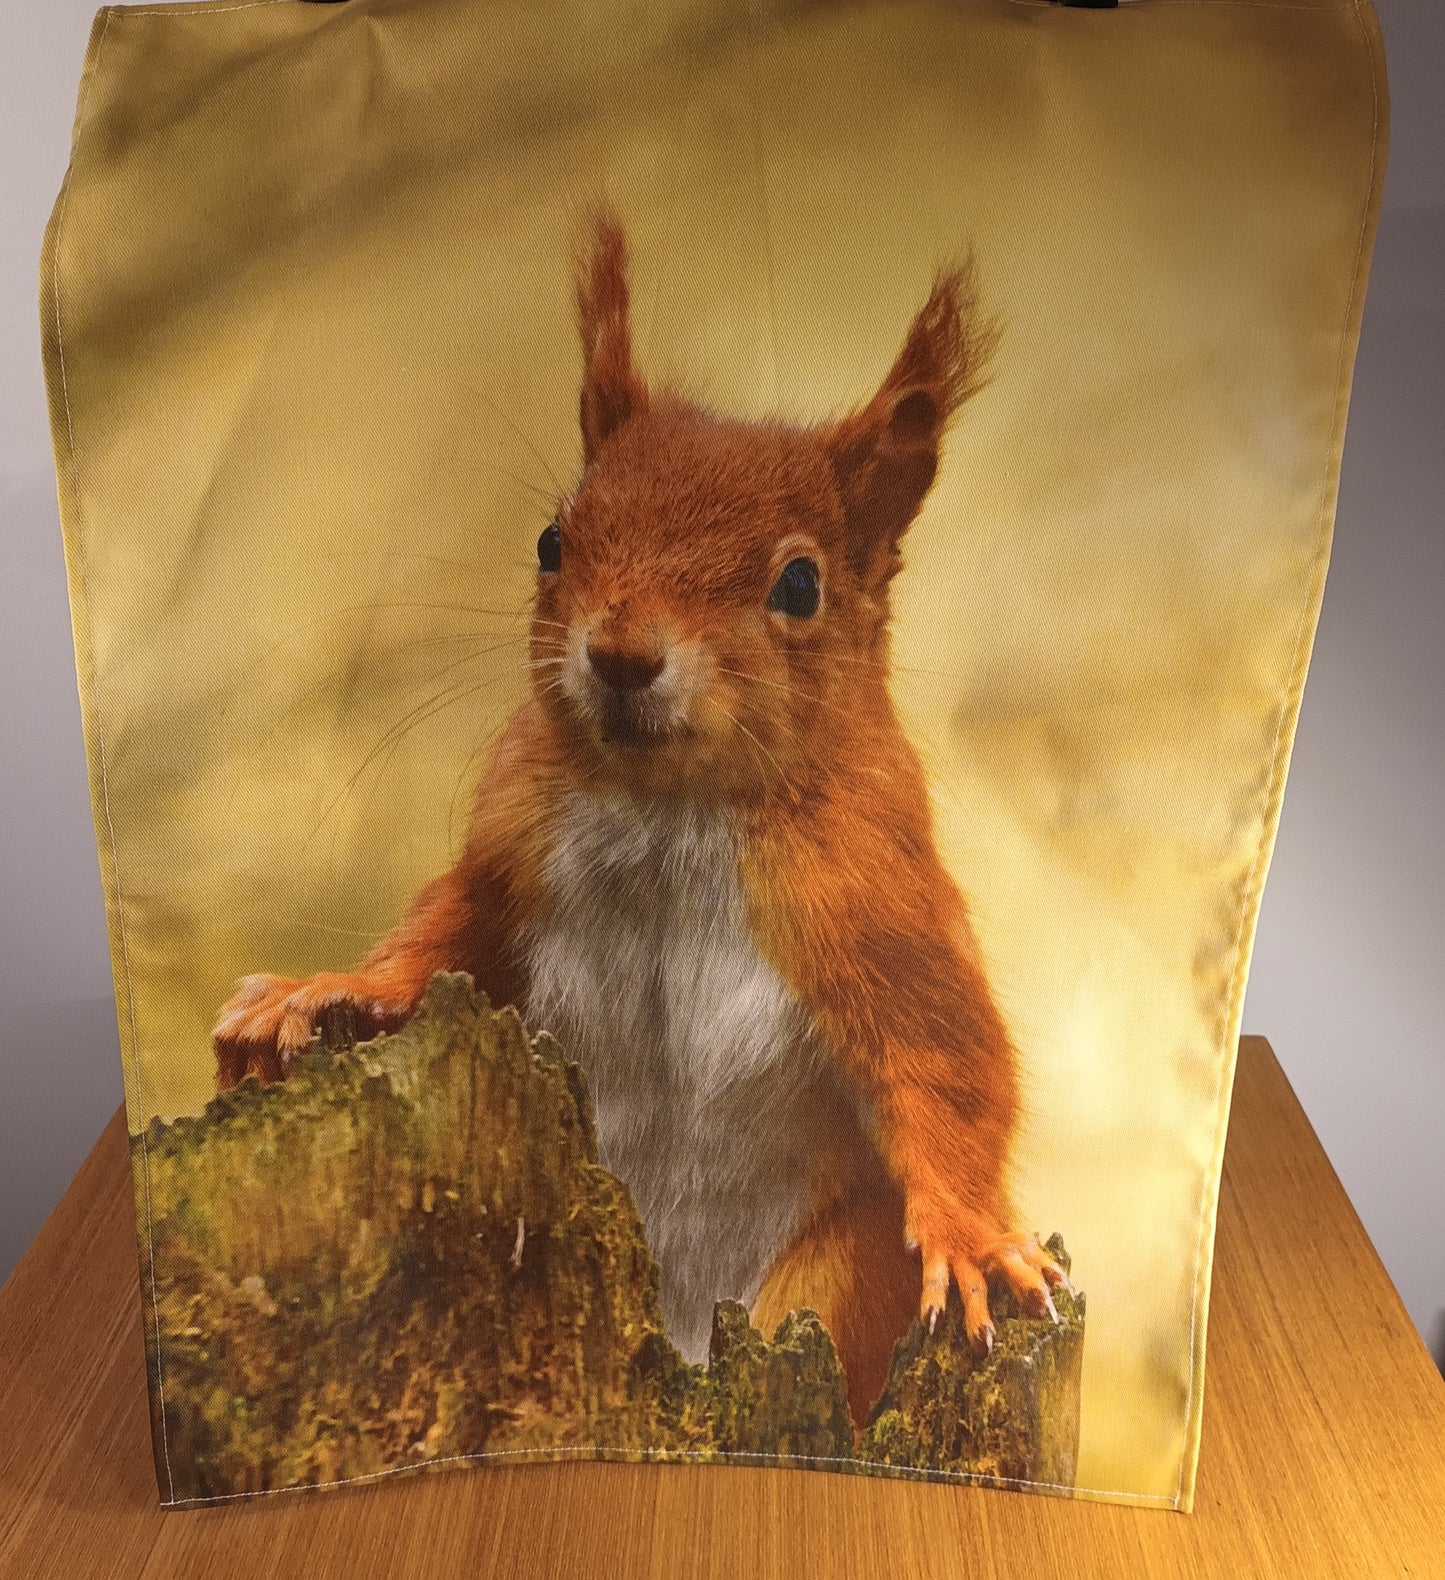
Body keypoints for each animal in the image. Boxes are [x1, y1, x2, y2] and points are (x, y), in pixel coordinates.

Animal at [213, 214, 1067, 1425]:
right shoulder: (512, 852)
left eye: (798, 584)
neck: (672, 810)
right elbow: (440, 933)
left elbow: (949, 1057)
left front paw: (970, 1234)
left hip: (824, 1278)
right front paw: (318, 990)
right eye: (550, 540)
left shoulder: (873, 896)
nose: (620, 654)